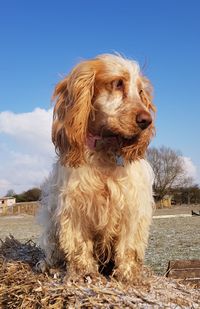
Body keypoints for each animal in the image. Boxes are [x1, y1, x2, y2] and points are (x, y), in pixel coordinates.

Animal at [38, 53, 155, 282]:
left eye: (140, 92)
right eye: (117, 83)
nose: (147, 121)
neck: (105, 150)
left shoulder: (132, 206)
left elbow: (128, 246)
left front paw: (128, 276)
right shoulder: (74, 207)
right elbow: (79, 245)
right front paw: (84, 274)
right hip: (49, 220)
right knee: (52, 252)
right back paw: (51, 267)